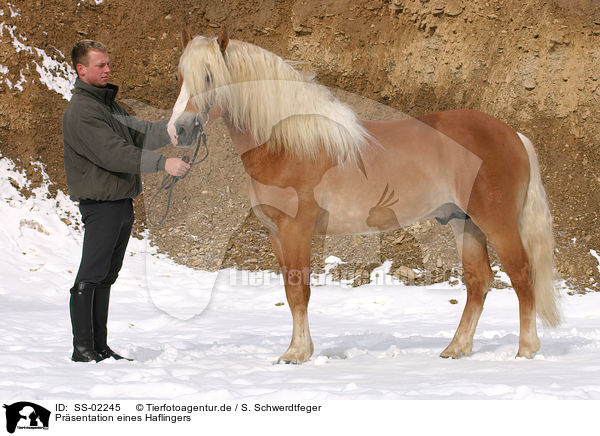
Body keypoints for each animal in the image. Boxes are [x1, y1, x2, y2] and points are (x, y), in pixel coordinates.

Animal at [166, 29, 560, 364]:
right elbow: (291, 292)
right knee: (479, 281)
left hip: (497, 223)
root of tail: (513, 134)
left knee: (522, 275)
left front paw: (296, 354)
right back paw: (456, 348)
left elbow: (299, 290)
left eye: (209, 76)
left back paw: (526, 349)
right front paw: (297, 350)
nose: (179, 130)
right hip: (465, 223)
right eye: (180, 75)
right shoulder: (276, 233)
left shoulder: (296, 230)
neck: (289, 144)